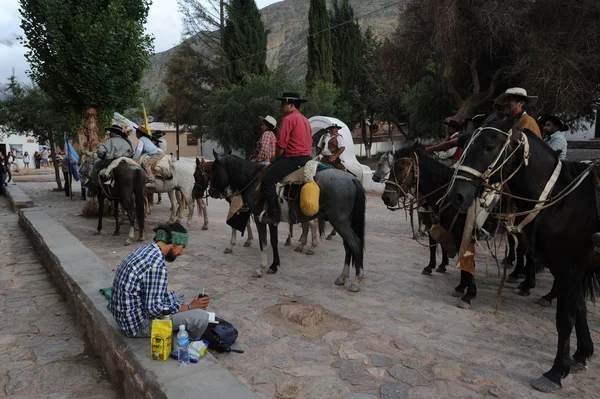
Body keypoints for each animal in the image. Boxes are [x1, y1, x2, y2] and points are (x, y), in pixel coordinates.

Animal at [206, 150, 366, 290]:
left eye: (214, 170)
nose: (211, 192)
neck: (253, 180)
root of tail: (351, 178)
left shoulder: (259, 219)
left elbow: (263, 243)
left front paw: (261, 268)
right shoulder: (271, 220)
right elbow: (274, 241)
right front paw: (274, 266)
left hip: (339, 221)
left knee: (355, 244)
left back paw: (356, 281)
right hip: (344, 222)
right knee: (348, 246)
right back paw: (342, 277)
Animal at [448, 119, 596, 394]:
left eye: (489, 146)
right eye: (466, 143)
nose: (457, 195)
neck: (563, 200)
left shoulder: (569, 268)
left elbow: (565, 318)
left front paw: (555, 372)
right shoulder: (572, 269)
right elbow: (580, 309)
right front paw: (581, 355)